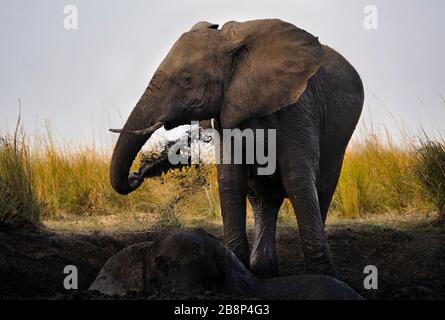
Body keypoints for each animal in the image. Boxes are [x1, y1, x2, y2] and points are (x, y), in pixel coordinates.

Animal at [109, 19, 362, 278]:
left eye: (187, 79)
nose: (137, 174)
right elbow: (231, 180)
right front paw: (236, 268)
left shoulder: (299, 108)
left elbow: (297, 178)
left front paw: (324, 276)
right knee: (264, 202)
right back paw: (264, 270)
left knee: (321, 190)